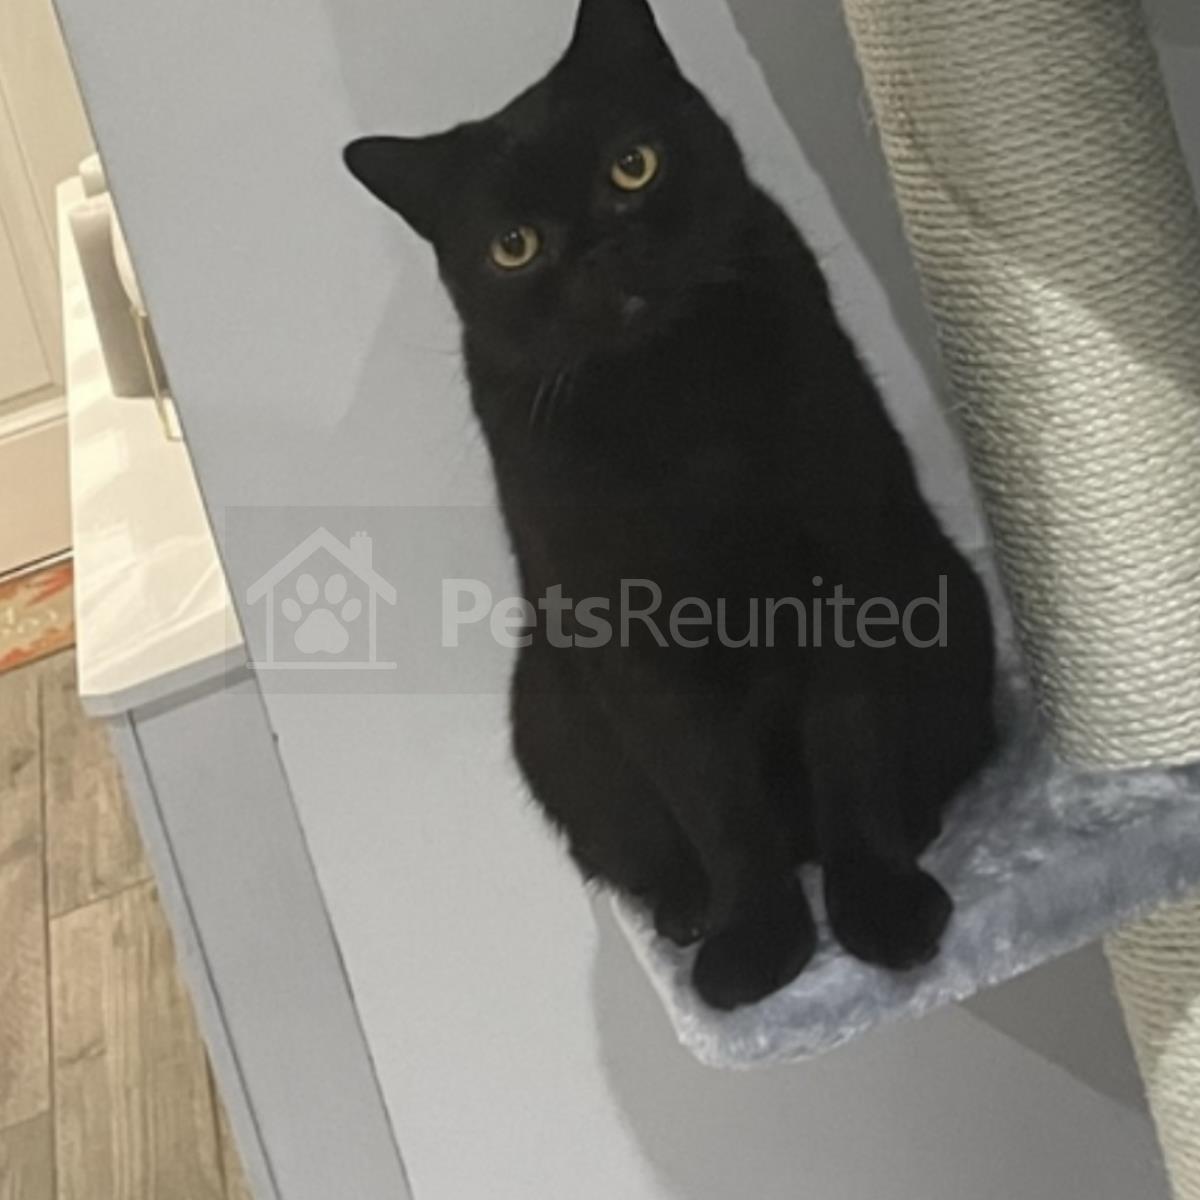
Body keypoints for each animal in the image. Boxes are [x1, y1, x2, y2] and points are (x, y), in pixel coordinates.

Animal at [344, 0, 996, 1010]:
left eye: (633, 164)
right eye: (513, 246)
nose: (600, 252)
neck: (670, 399)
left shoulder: (848, 569)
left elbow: (848, 747)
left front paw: (879, 908)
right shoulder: (628, 635)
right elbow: (713, 799)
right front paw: (756, 944)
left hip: (947, 594)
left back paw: (912, 826)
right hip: (545, 710)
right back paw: (691, 913)